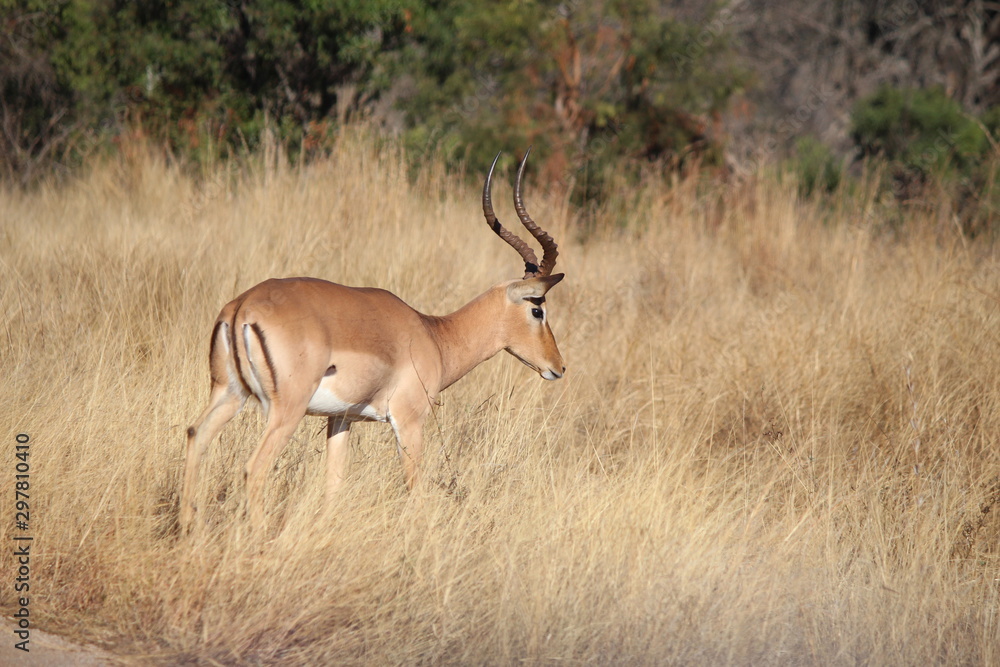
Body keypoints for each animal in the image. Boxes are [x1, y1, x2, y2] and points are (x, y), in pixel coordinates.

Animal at [180, 149, 565, 532]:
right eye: (538, 309)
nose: (558, 367)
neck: (433, 334)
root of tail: (242, 307)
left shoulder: (340, 419)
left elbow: (333, 487)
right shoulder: (409, 422)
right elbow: (415, 491)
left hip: (229, 394)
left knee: (195, 435)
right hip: (285, 410)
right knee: (254, 469)